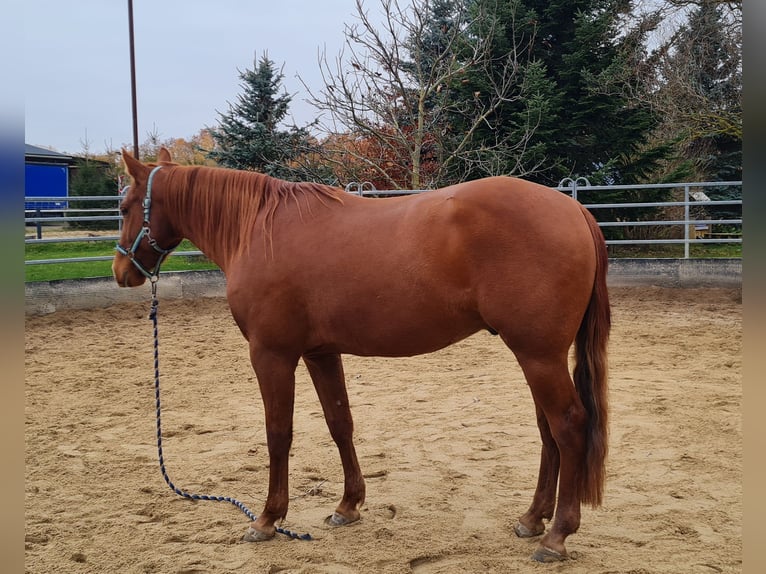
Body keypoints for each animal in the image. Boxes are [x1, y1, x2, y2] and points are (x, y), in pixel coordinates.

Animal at [113, 148, 610, 563]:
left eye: (123, 207)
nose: (121, 272)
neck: (257, 228)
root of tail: (573, 209)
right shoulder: (320, 353)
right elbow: (340, 423)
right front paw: (348, 506)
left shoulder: (272, 354)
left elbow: (278, 434)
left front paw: (268, 519)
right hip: (538, 355)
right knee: (547, 430)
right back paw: (532, 519)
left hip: (538, 355)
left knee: (568, 427)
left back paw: (556, 536)